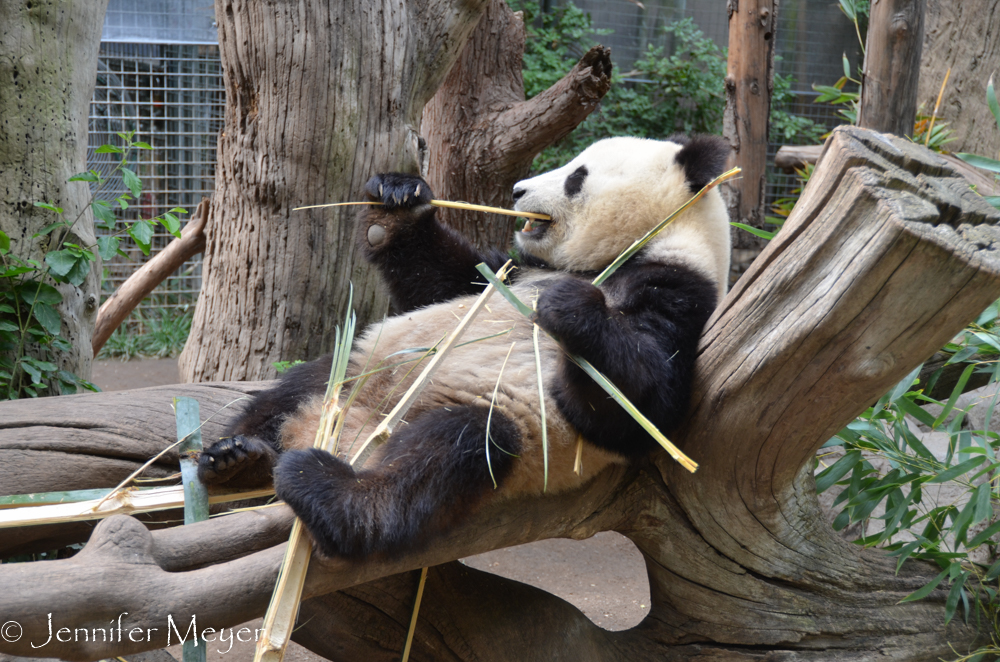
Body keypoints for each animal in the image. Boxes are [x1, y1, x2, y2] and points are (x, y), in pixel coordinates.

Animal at [199, 135, 732, 560]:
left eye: (576, 177)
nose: (517, 191)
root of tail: (350, 437)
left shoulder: (678, 291)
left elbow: (641, 411)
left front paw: (569, 306)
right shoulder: (512, 272)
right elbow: (447, 281)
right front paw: (398, 198)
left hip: (500, 430)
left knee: (454, 450)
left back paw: (331, 492)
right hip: (365, 367)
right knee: (305, 384)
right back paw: (237, 457)